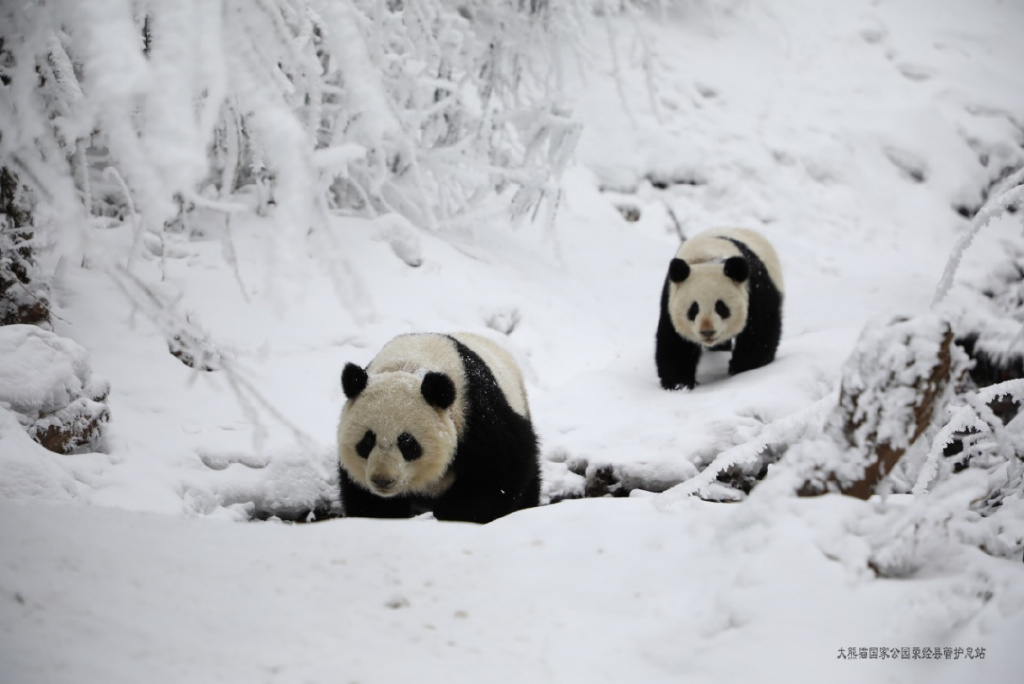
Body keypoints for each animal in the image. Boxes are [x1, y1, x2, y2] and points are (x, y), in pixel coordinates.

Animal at [337, 331, 544, 524]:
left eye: (407, 443)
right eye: (367, 441)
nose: (382, 480)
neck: (408, 365)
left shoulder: (475, 413)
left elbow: (500, 468)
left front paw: (454, 513)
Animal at [655, 227, 782, 389]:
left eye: (721, 307)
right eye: (693, 309)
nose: (707, 332)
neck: (706, 257)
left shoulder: (755, 289)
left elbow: (759, 331)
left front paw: (743, 369)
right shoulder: (670, 297)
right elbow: (675, 342)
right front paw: (679, 384)